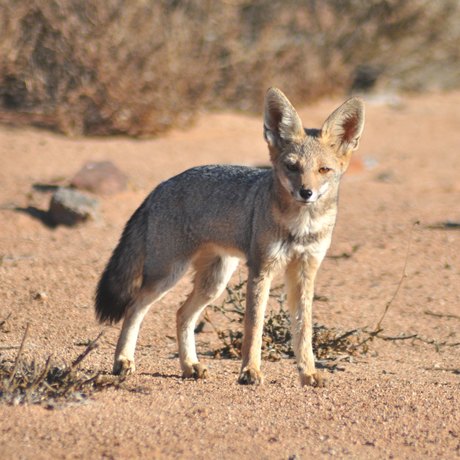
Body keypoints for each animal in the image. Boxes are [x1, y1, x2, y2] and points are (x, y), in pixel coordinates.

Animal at [95, 88, 364, 386]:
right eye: (292, 167)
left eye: (323, 170)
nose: (306, 193)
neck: (301, 226)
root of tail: (160, 186)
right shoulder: (261, 269)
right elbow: (254, 327)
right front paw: (250, 371)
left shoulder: (305, 270)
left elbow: (303, 330)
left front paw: (308, 373)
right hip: (167, 275)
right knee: (134, 308)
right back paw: (123, 361)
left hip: (214, 282)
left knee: (181, 314)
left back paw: (190, 366)